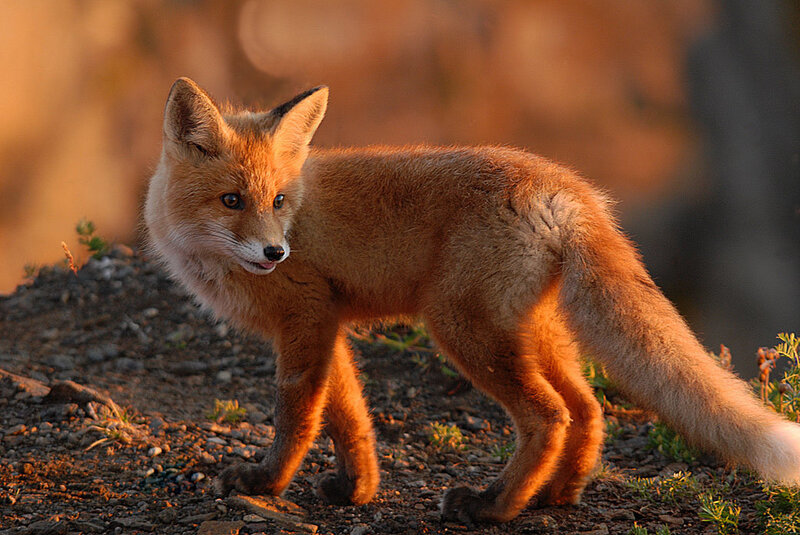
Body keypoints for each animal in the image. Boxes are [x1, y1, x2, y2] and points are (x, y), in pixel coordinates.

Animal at [143, 77, 800, 523]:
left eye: (279, 200)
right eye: (232, 201)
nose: (276, 252)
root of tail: (563, 184)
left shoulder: (305, 317)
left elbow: (297, 417)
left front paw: (265, 483)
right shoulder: (329, 322)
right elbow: (349, 417)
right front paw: (356, 489)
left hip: (462, 329)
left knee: (549, 416)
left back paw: (495, 506)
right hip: (531, 332)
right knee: (587, 408)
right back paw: (556, 495)